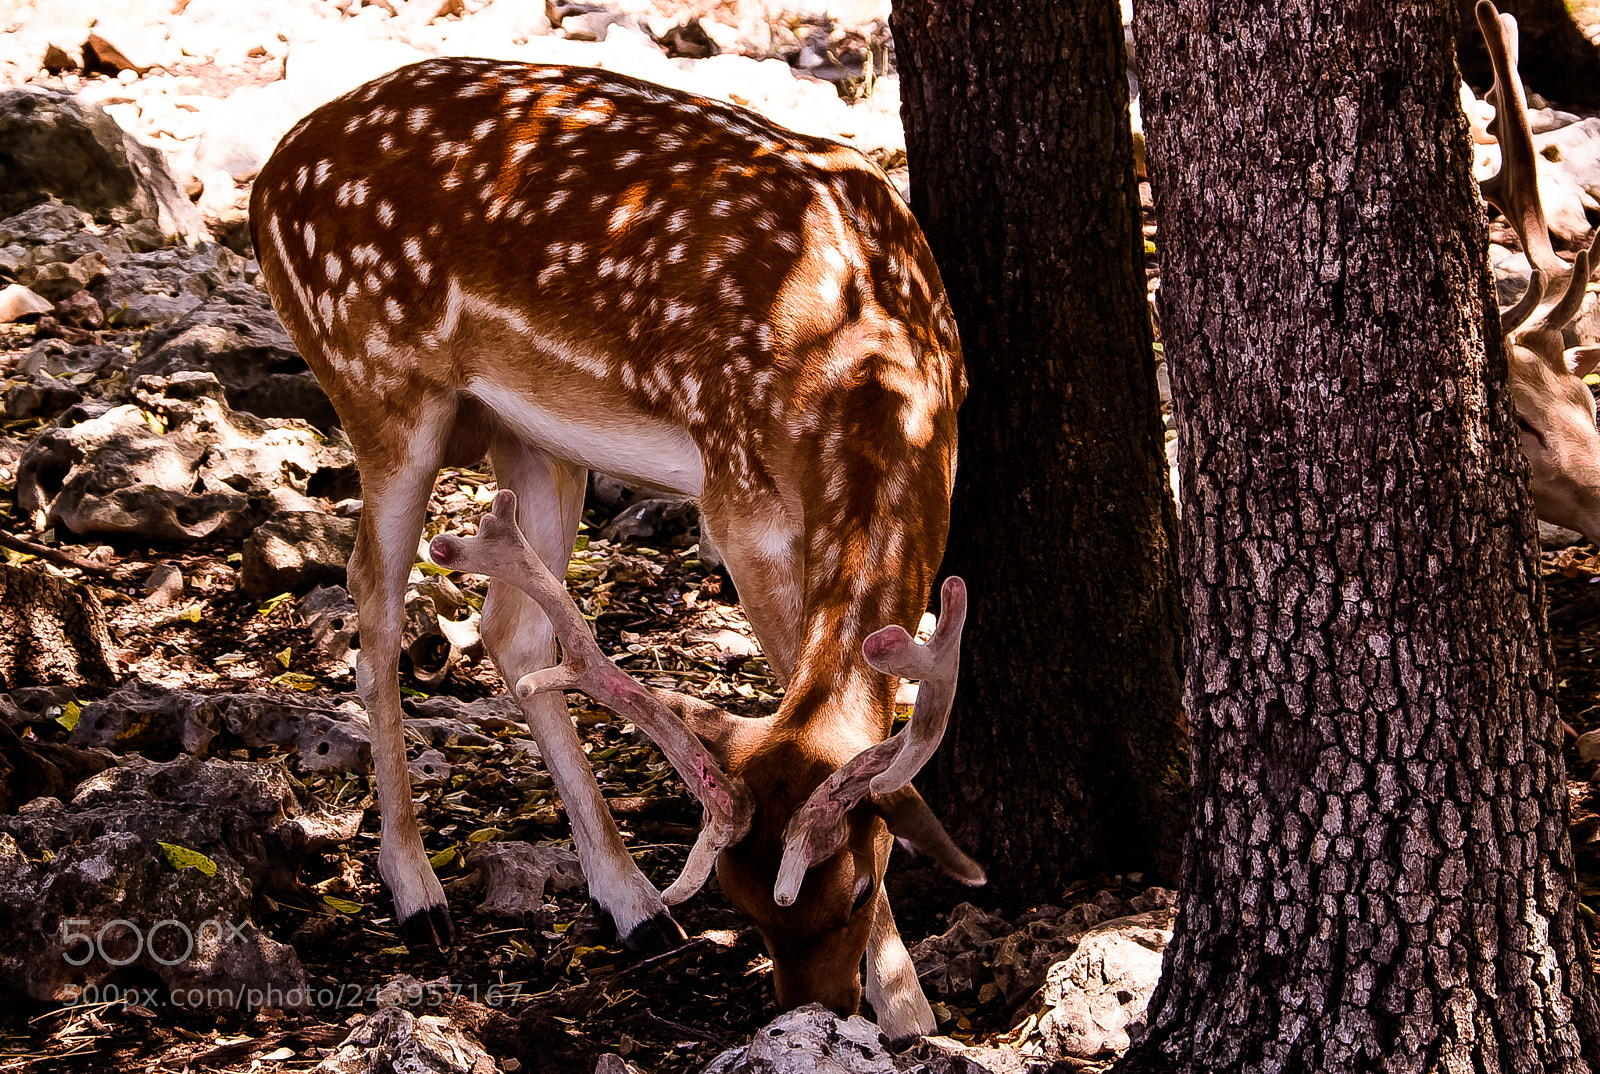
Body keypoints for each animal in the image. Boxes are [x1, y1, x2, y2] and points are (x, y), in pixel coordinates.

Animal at [249, 58, 983, 1035]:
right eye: (744, 907)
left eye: (860, 888)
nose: (812, 1013)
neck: (873, 364)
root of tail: (266, 181)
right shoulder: (736, 496)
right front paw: (909, 1012)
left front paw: (905, 1009)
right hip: (378, 382)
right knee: (372, 604)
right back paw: (417, 895)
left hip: (536, 439)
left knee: (513, 631)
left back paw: (634, 907)